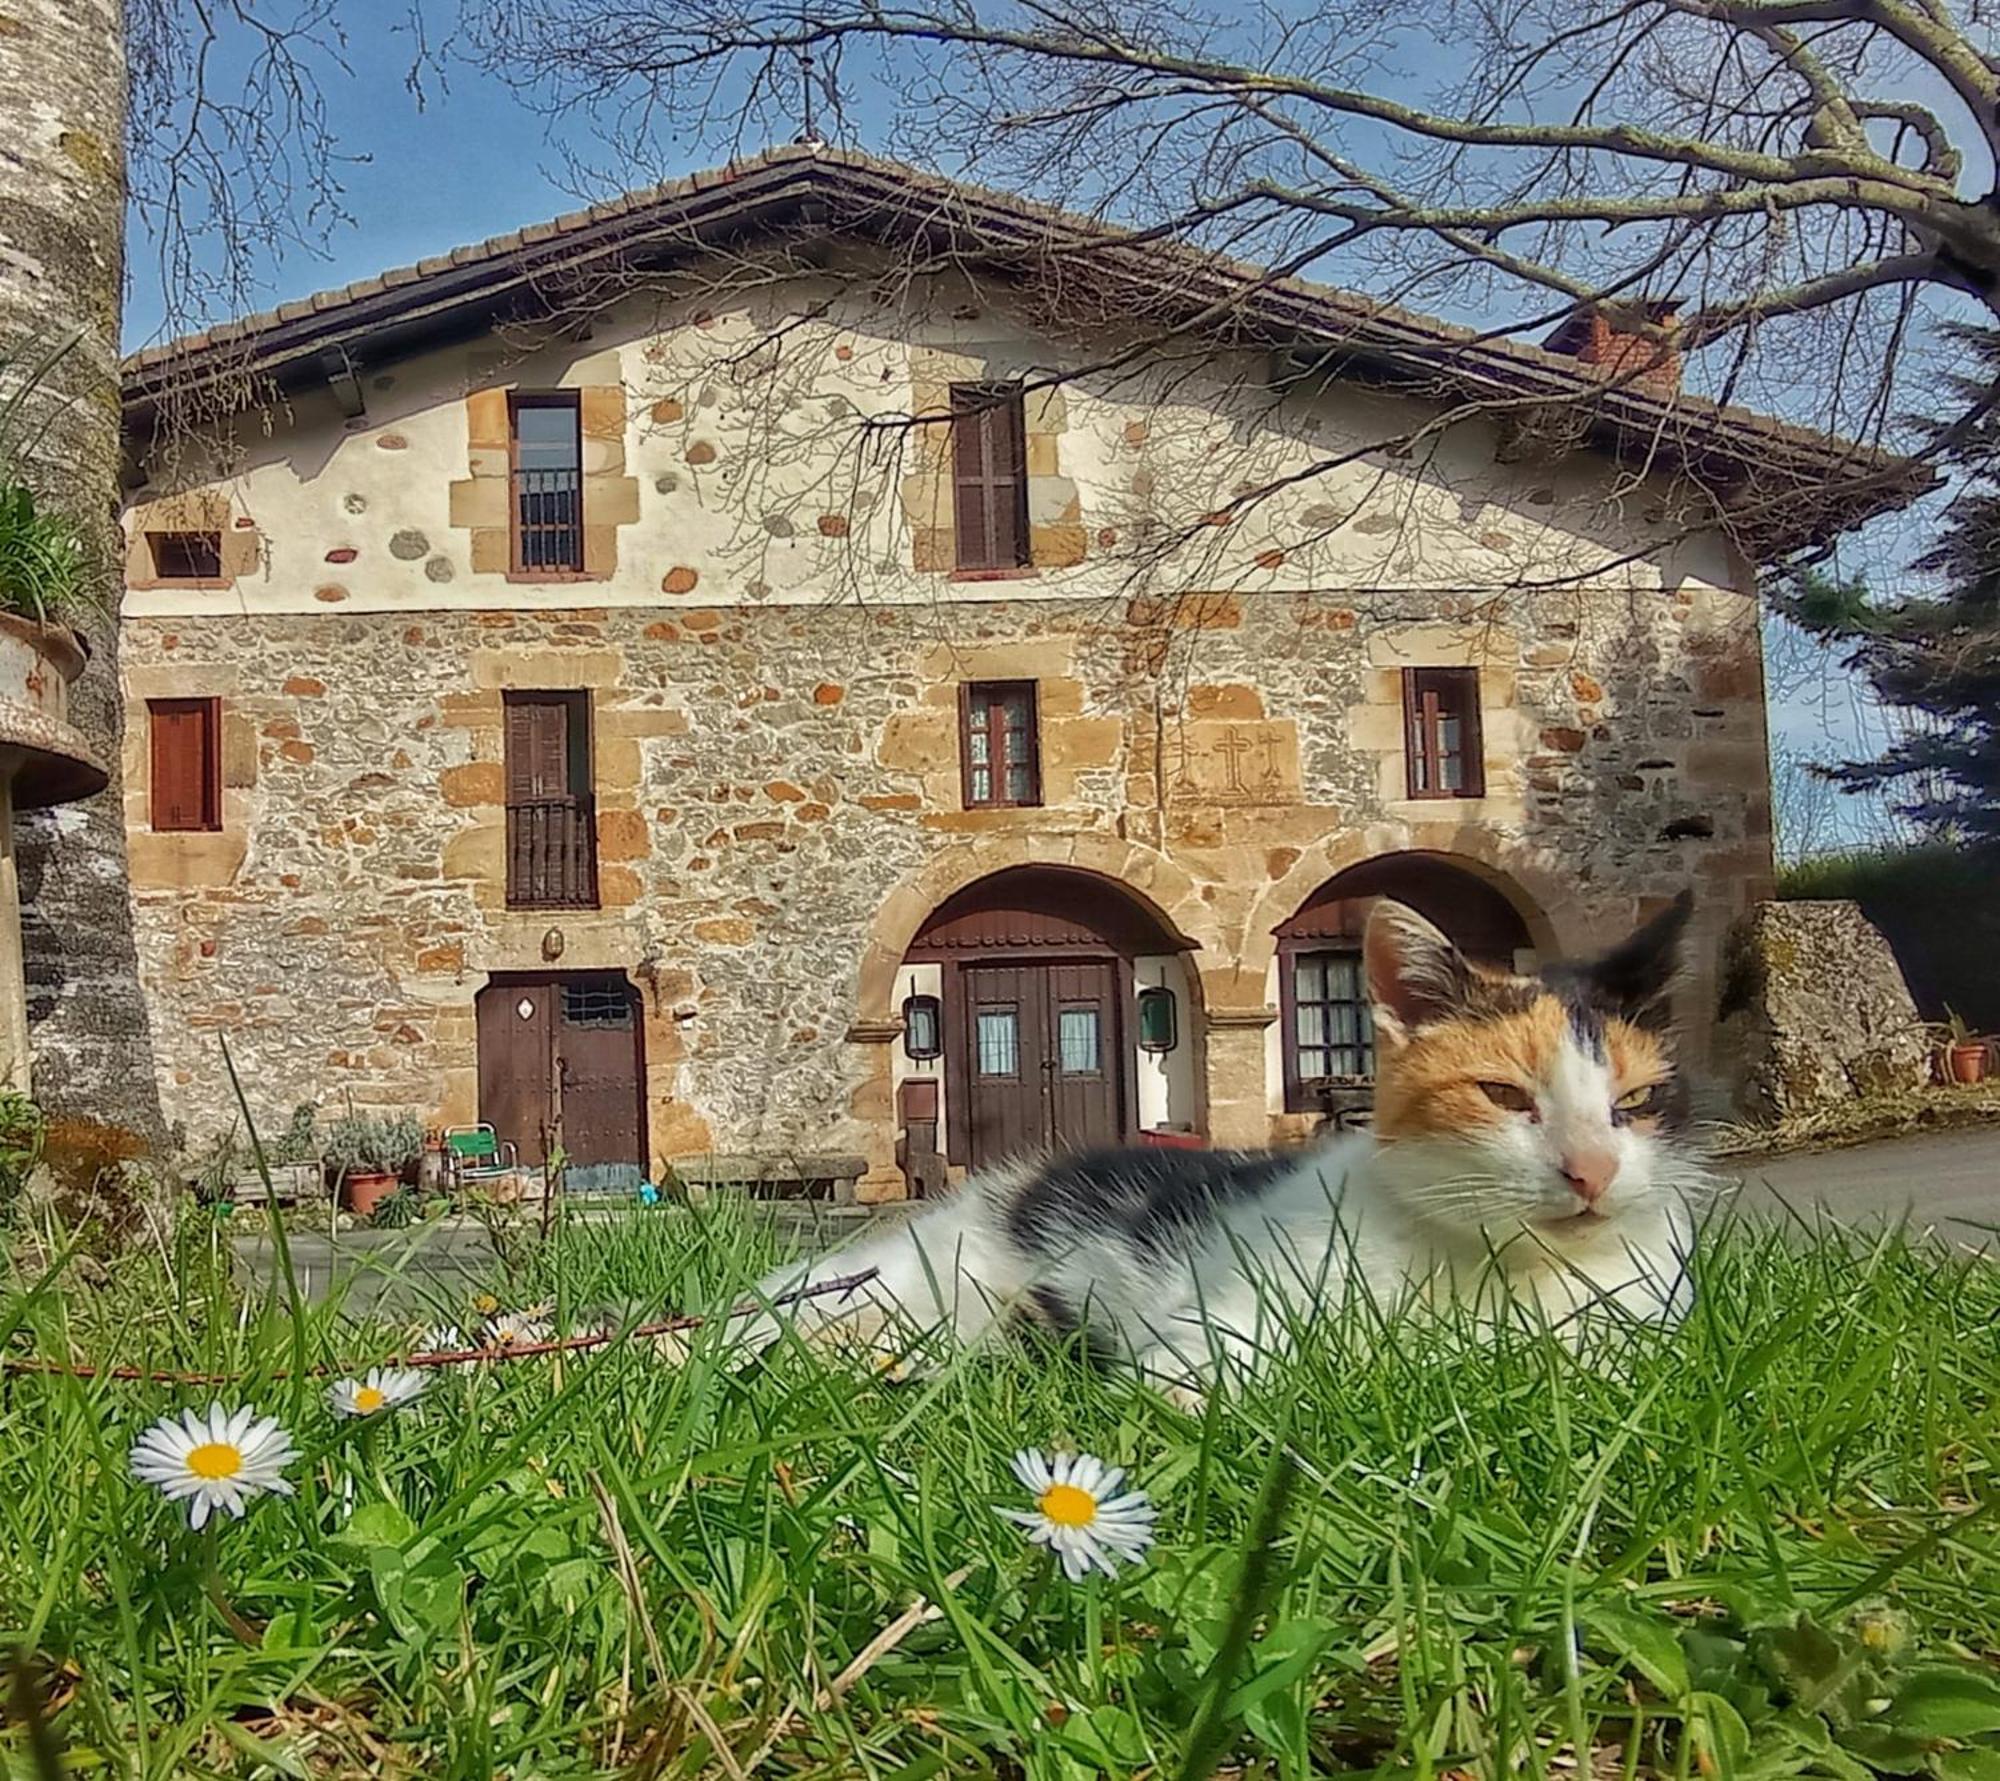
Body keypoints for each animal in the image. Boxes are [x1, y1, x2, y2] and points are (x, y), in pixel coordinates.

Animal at [744, 888, 1712, 1384]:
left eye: (1637, 1100)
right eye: (1504, 1093)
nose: (1591, 1169)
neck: (1503, 1275)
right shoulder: (1228, 1317)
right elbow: (1194, 1375)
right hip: (913, 1280)